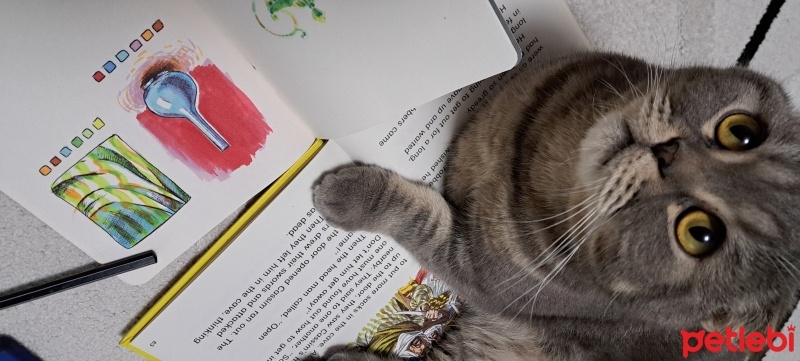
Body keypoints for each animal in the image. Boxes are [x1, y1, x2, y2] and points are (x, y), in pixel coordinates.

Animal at [310, 51, 800, 360]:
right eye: (741, 132)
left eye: (700, 234)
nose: (666, 154)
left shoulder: (479, 273)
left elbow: (422, 217)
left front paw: (344, 193)